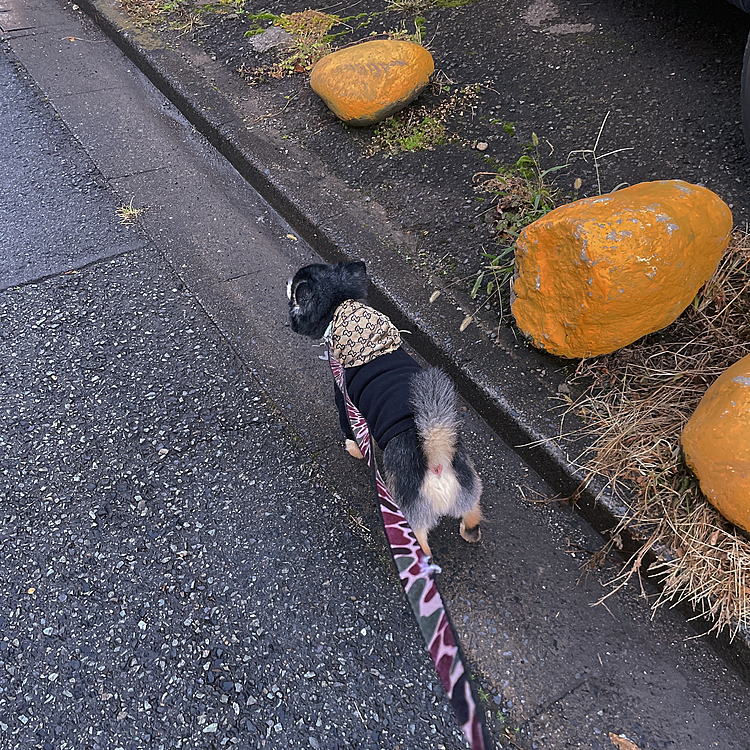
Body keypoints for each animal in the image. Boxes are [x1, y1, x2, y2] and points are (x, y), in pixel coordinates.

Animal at [288, 260, 482, 560]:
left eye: (294, 290)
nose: (287, 283)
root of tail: (437, 459)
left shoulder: (345, 401)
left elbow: (352, 431)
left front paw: (354, 448)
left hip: (410, 511)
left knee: (420, 541)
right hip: (468, 489)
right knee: (472, 514)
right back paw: (470, 532)